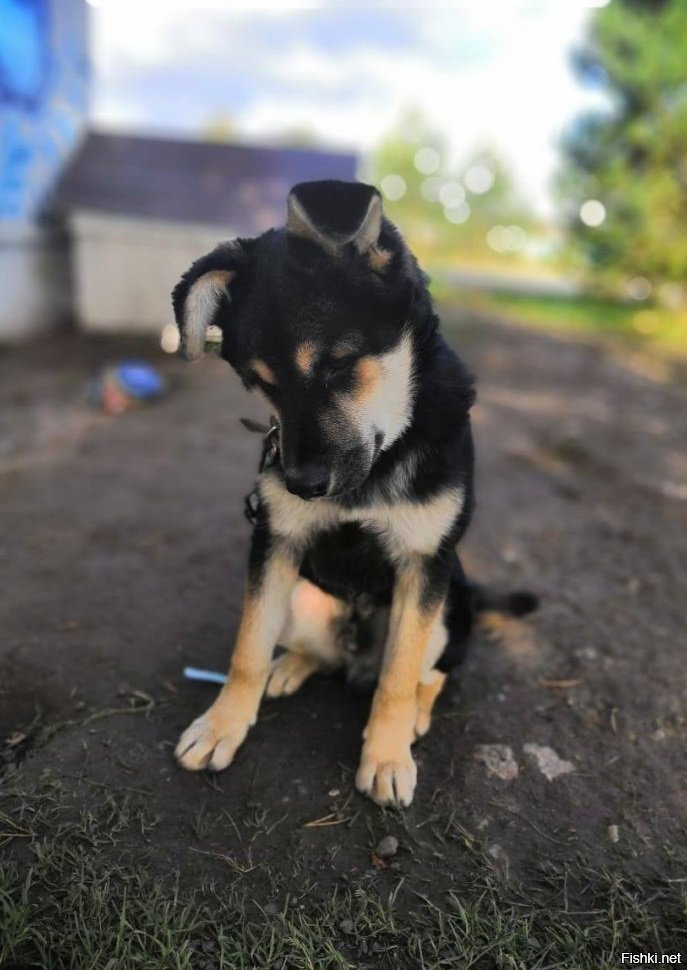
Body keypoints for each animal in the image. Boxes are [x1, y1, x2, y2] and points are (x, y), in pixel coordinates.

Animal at [171, 179, 535, 808]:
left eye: (338, 366)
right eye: (258, 382)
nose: (301, 485)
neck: (381, 459)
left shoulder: (425, 562)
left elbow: (397, 678)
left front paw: (386, 758)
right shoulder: (275, 543)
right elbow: (247, 648)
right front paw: (221, 726)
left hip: (448, 610)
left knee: (429, 673)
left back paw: (415, 715)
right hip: (301, 596)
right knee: (313, 652)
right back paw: (290, 666)